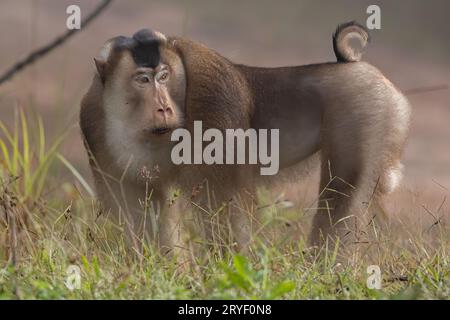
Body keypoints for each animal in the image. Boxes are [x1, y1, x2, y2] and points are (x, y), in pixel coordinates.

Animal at [80, 21, 412, 254]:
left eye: (163, 76)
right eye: (142, 80)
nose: (164, 108)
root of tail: (356, 66)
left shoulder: (211, 104)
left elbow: (222, 208)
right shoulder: (93, 122)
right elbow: (139, 214)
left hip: (367, 109)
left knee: (343, 190)